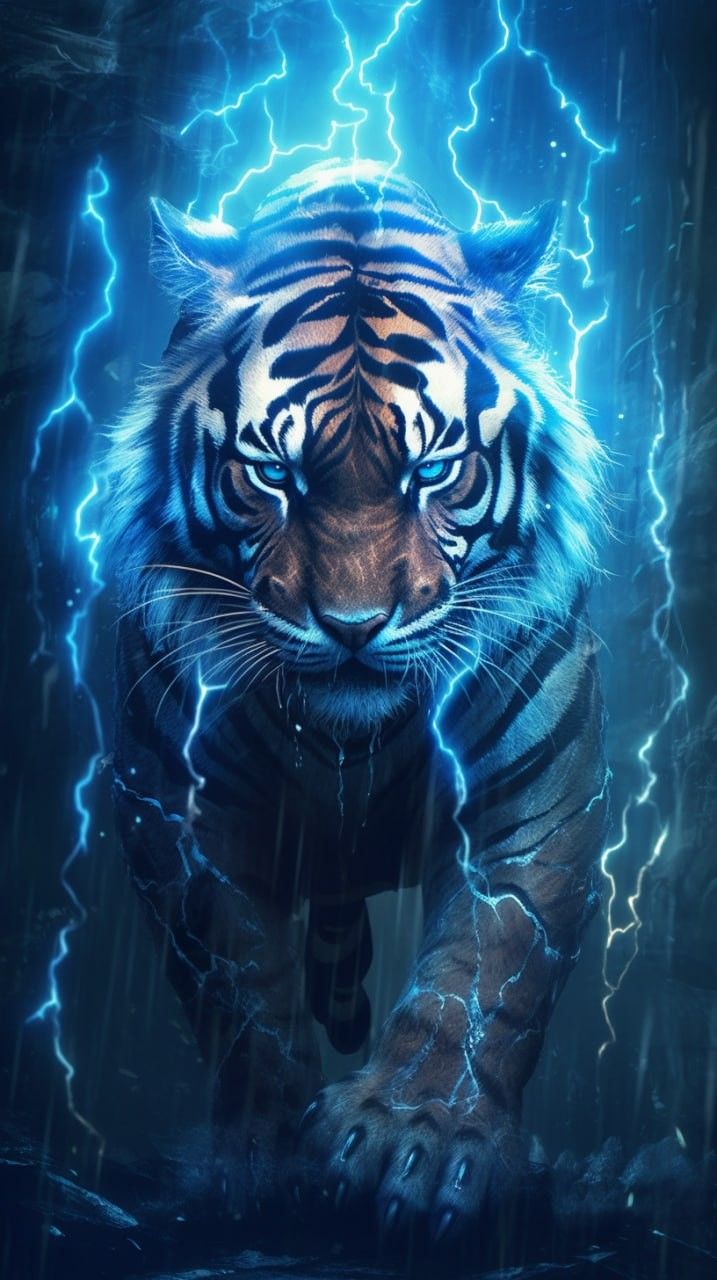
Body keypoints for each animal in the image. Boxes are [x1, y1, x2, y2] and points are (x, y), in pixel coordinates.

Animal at [104, 159, 608, 1242]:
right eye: (272, 475)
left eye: (433, 471)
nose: (352, 624)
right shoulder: (173, 798)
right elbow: (237, 985)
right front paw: (265, 1161)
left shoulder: (534, 791)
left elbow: (486, 971)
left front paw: (420, 1141)